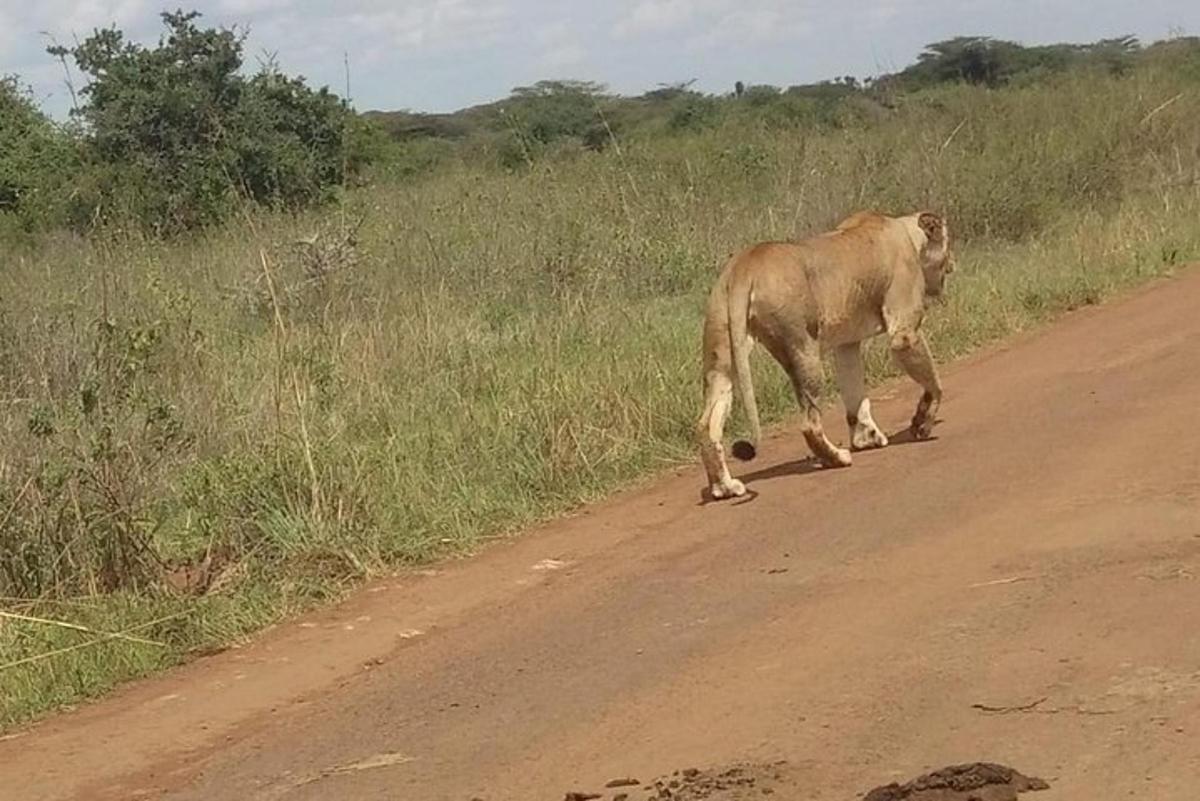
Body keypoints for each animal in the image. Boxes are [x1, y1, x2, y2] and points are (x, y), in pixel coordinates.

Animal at [700, 212, 950, 501]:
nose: (952, 266)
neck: (908, 233)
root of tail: (745, 264)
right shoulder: (904, 334)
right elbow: (934, 384)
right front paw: (923, 423)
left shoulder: (847, 344)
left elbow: (855, 395)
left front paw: (866, 438)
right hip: (802, 346)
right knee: (809, 423)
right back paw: (837, 458)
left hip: (721, 355)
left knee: (705, 425)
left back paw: (725, 487)